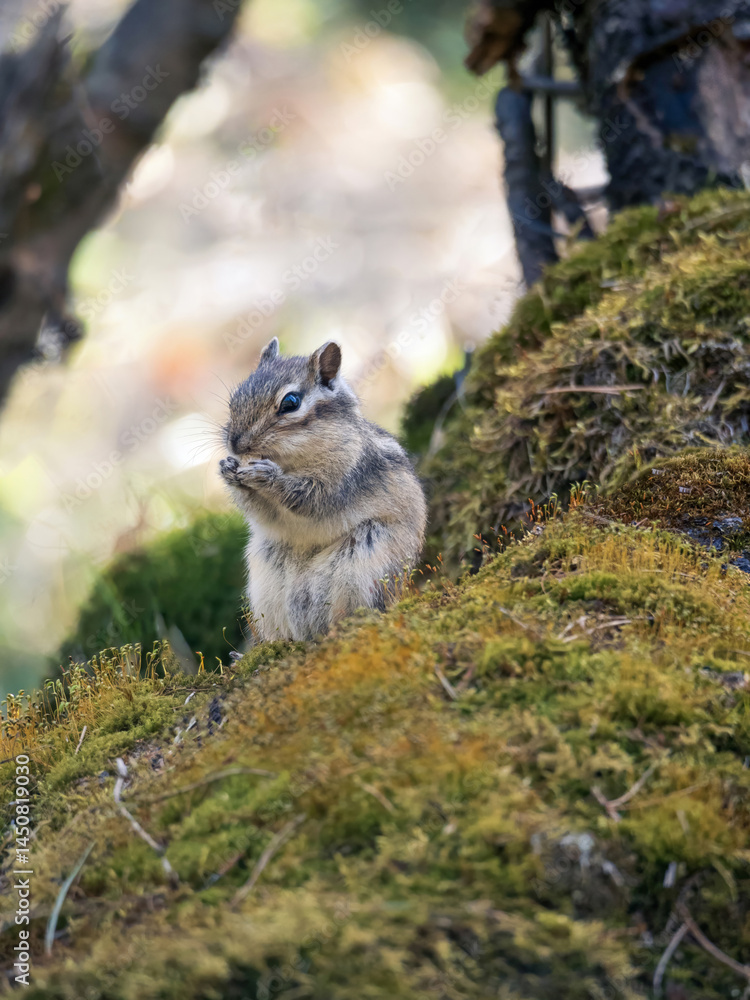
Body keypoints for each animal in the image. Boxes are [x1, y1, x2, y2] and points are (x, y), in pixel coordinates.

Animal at [219, 337, 427, 642]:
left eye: (290, 403)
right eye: (236, 398)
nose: (235, 443)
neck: (292, 460)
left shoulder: (342, 476)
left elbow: (310, 499)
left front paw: (266, 475)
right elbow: (262, 512)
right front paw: (228, 469)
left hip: (366, 562)